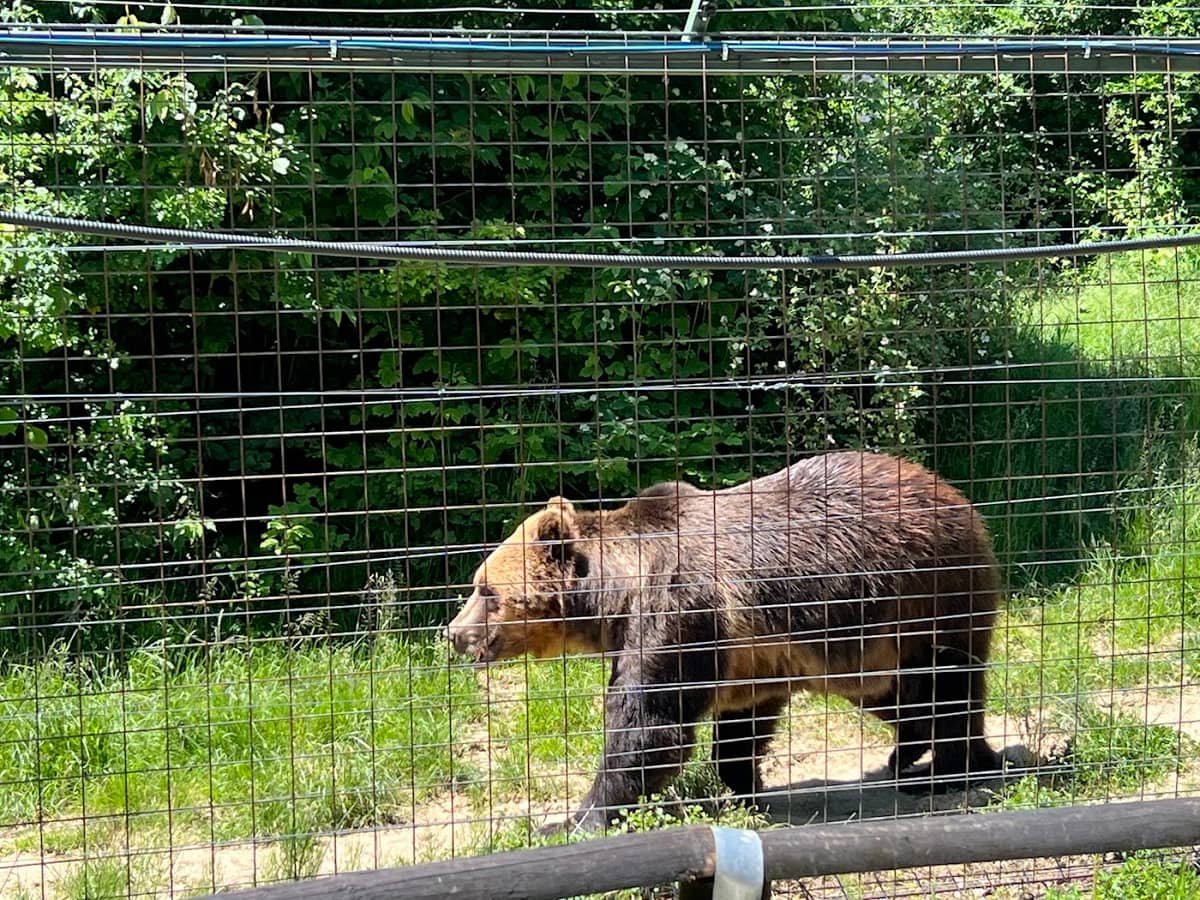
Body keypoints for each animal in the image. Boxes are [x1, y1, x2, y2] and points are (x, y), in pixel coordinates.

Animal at [447, 450, 1003, 834]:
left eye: (486, 590)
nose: (454, 634)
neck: (616, 596)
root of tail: (955, 494)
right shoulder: (748, 653)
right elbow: (737, 725)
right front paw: (744, 790)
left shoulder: (680, 612)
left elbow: (647, 727)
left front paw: (572, 820)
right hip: (870, 644)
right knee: (899, 694)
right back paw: (908, 756)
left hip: (927, 598)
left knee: (946, 684)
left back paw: (950, 769)